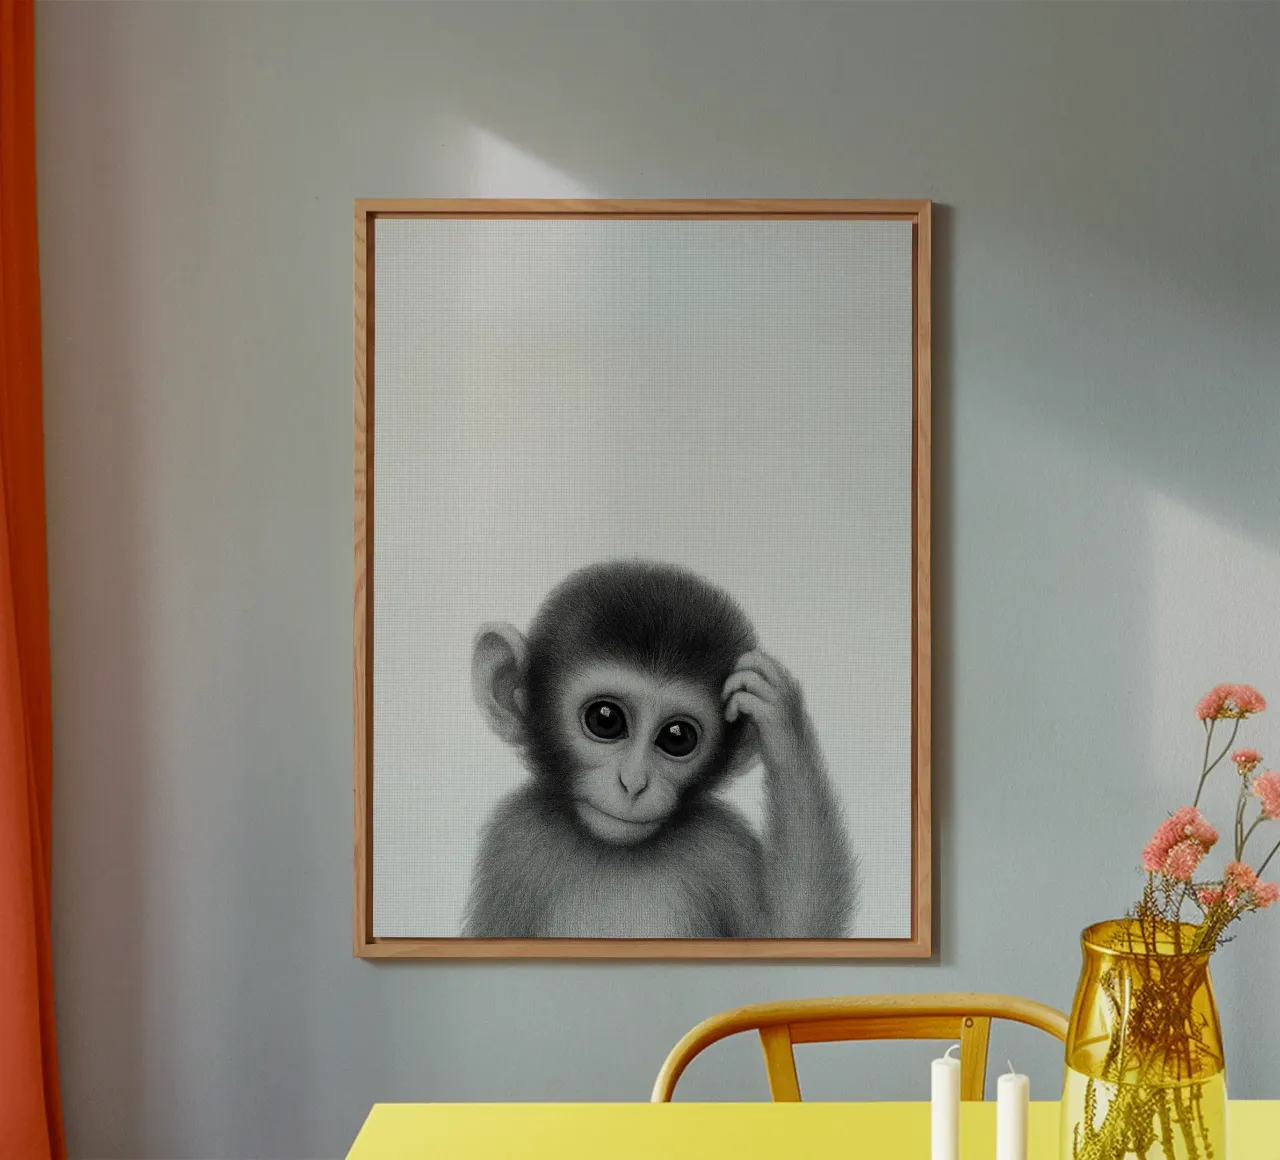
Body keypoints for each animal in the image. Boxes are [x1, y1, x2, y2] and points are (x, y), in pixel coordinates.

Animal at [462, 559, 855, 939]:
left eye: (676, 737)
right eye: (605, 719)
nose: (634, 783)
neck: (616, 854)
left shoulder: (723, 841)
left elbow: (790, 929)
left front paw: (780, 717)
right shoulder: (514, 839)